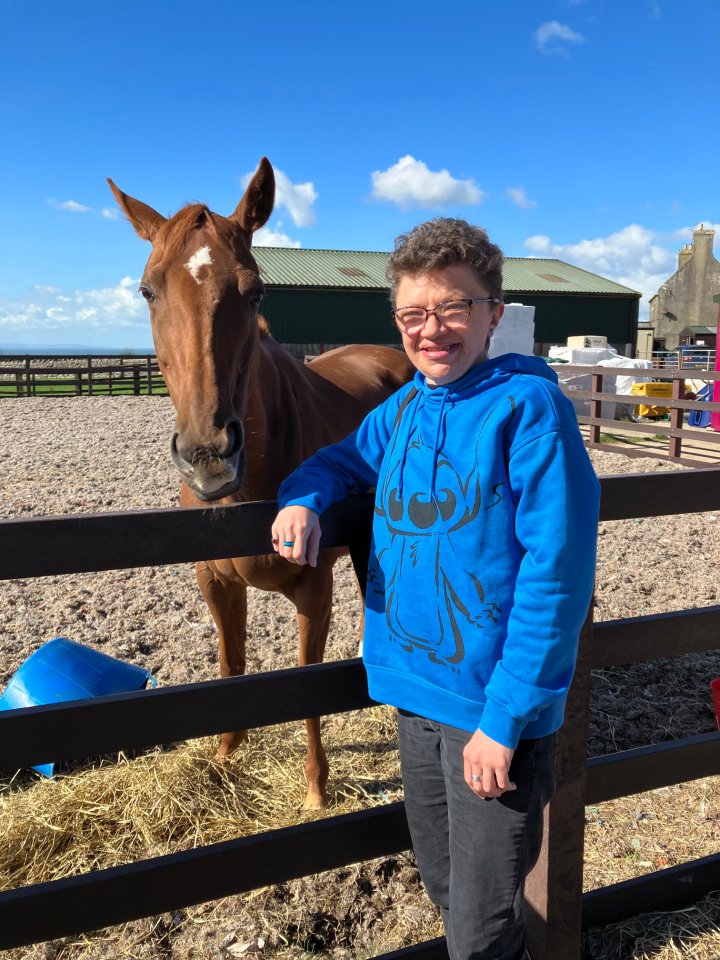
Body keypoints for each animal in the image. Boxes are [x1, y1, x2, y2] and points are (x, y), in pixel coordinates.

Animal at [107, 161, 410, 808]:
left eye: (255, 292)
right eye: (148, 290)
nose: (208, 452)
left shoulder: (314, 589)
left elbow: (307, 685)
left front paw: (316, 788)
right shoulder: (216, 582)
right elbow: (231, 666)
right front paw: (224, 757)